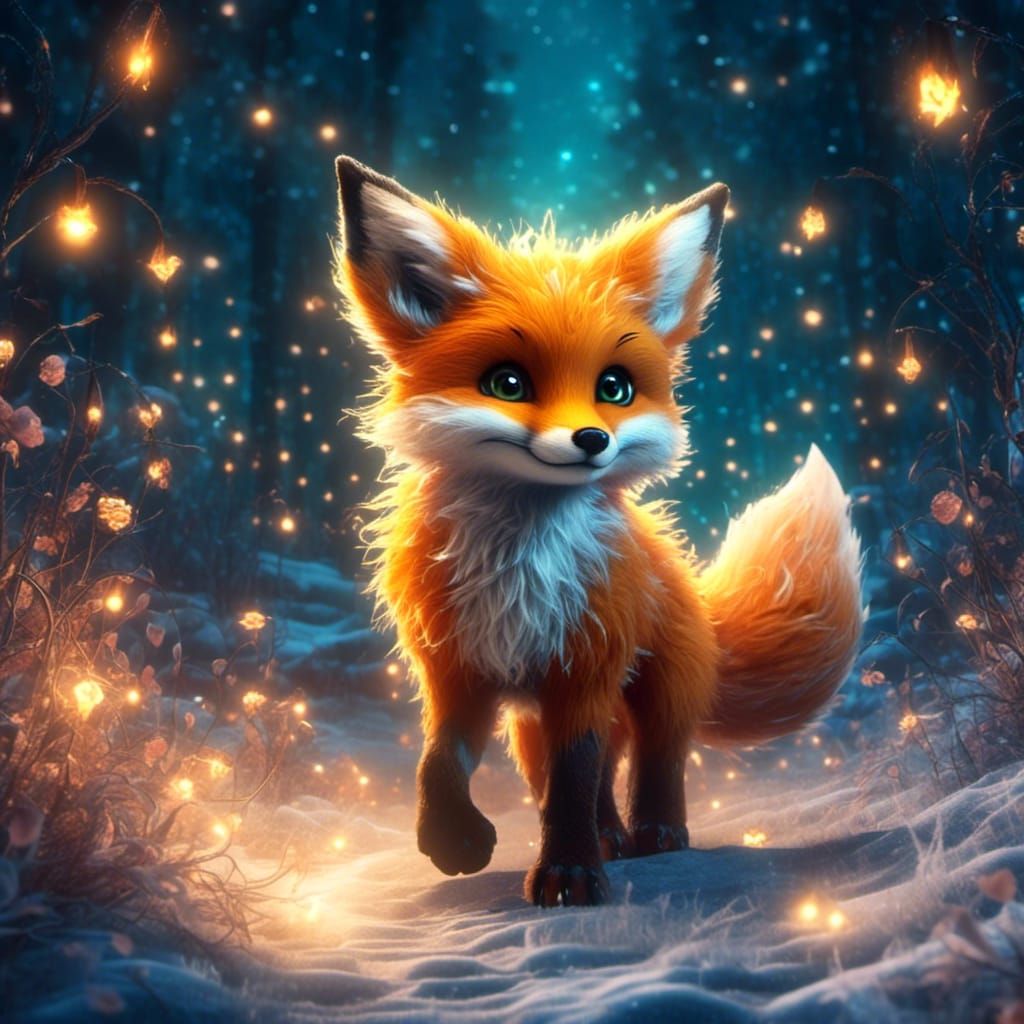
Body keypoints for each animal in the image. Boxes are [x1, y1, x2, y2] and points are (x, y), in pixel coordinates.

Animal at [332, 155, 863, 908]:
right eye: (507, 382)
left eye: (614, 388)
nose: (592, 440)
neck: (520, 567)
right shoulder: (459, 669)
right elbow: (441, 762)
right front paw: (453, 843)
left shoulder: (585, 667)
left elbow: (573, 781)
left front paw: (571, 873)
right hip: (536, 720)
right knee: (585, 769)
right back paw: (612, 835)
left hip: (659, 687)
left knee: (656, 758)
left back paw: (656, 834)